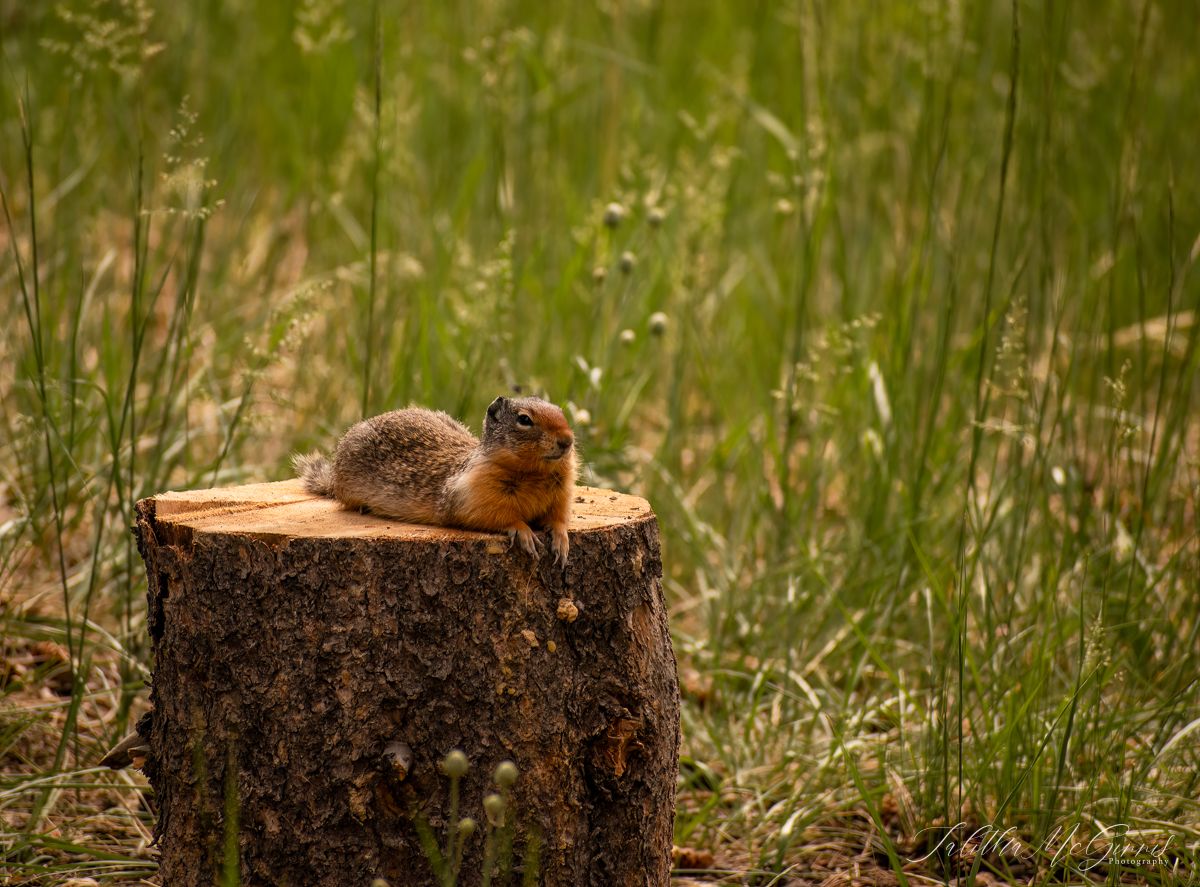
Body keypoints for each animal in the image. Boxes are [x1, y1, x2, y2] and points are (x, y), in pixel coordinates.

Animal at [293, 396, 577, 563]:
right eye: (524, 419)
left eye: (560, 411)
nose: (568, 440)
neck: (534, 473)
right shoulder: (475, 494)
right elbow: (497, 516)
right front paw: (524, 533)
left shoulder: (561, 495)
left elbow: (559, 517)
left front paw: (561, 540)